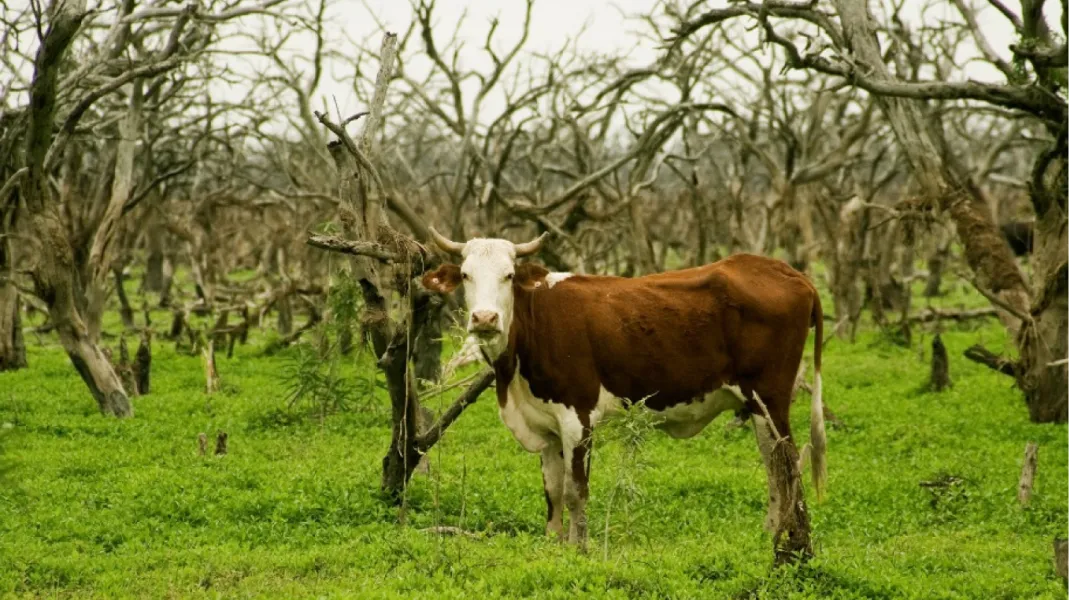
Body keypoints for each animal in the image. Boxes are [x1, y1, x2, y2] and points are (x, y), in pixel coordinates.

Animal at [416, 227, 825, 556]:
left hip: (771, 397)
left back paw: (790, 541)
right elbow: (553, 491)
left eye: (509, 275)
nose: (485, 318)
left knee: (790, 466)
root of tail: (790, 273)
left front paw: (579, 549)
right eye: (466, 275)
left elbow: (575, 491)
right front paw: (553, 544)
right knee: (773, 465)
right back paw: (771, 533)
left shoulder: (577, 417)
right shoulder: (545, 424)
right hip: (755, 405)